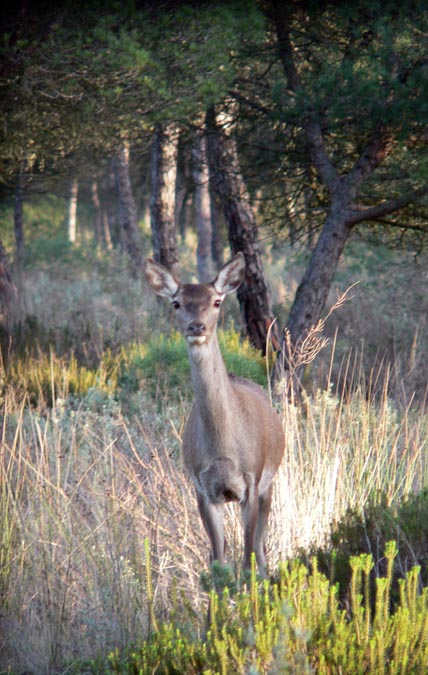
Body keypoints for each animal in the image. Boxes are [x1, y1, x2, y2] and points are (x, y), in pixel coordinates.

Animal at [145, 254, 284, 576]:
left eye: (217, 301)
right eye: (176, 303)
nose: (197, 327)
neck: (223, 449)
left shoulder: (251, 481)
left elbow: (247, 559)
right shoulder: (202, 487)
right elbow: (218, 561)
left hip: (269, 484)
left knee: (261, 551)